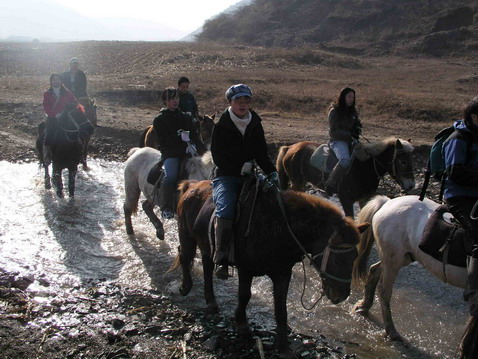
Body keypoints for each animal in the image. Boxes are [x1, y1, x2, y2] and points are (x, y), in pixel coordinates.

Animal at [276, 137, 414, 217]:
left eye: (410, 159)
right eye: (403, 161)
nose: (411, 185)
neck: (364, 168)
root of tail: (290, 147)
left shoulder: (364, 200)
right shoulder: (346, 200)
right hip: (297, 182)